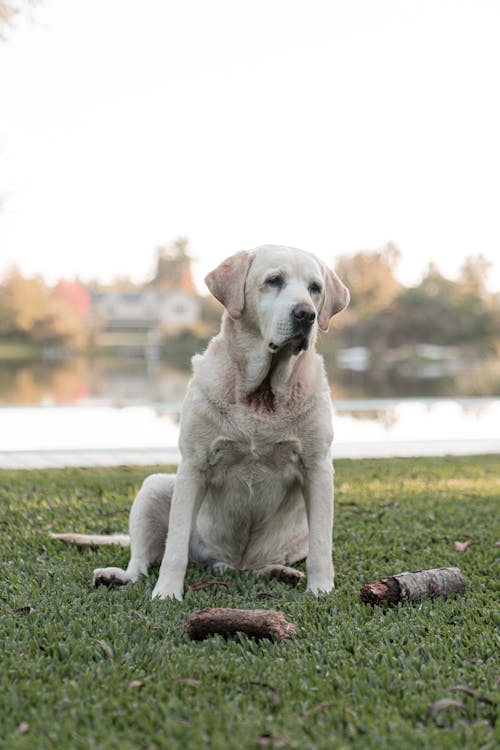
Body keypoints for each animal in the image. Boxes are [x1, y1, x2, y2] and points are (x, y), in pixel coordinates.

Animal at [53, 245, 348, 600]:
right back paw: (118, 576)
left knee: (264, 563)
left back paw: (279, 571)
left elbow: (322, 546)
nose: (306, 314)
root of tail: (232, 563)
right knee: (142, 560)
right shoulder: (194, 465)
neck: (261, 395)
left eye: (315, 288)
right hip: (155, 488)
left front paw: (321, 590)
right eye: (274, 280)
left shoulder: (318, 469)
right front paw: (167, 593)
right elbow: (175, 546)